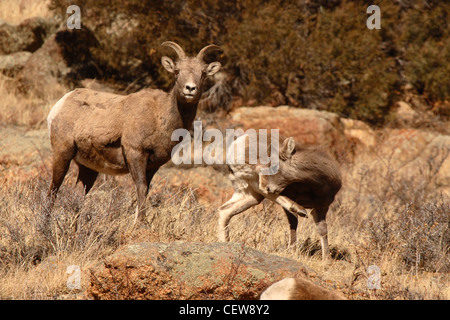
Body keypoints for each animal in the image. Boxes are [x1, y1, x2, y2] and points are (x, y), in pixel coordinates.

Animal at [46, 42, 221, 225]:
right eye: (177, 71)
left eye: (203, 73)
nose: (190, 89)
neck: (160, 117)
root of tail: (61, 104)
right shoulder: (135, 153)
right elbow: (141, 188)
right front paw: (140, 223)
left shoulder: (152, 166)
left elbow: (146, 190)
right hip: (62, 155)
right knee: (53, 191)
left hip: (88, 168)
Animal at [218, 134, 342, 262]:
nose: (270, 188)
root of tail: (238, 143)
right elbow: (293, 224)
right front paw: (292, 251)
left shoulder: (321, 207)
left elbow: (322, 230)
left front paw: (326, 260)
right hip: (259, 178)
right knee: (263, 188)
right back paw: (300, 209)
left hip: (250, 194)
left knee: (225, 210)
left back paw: (225, 242)